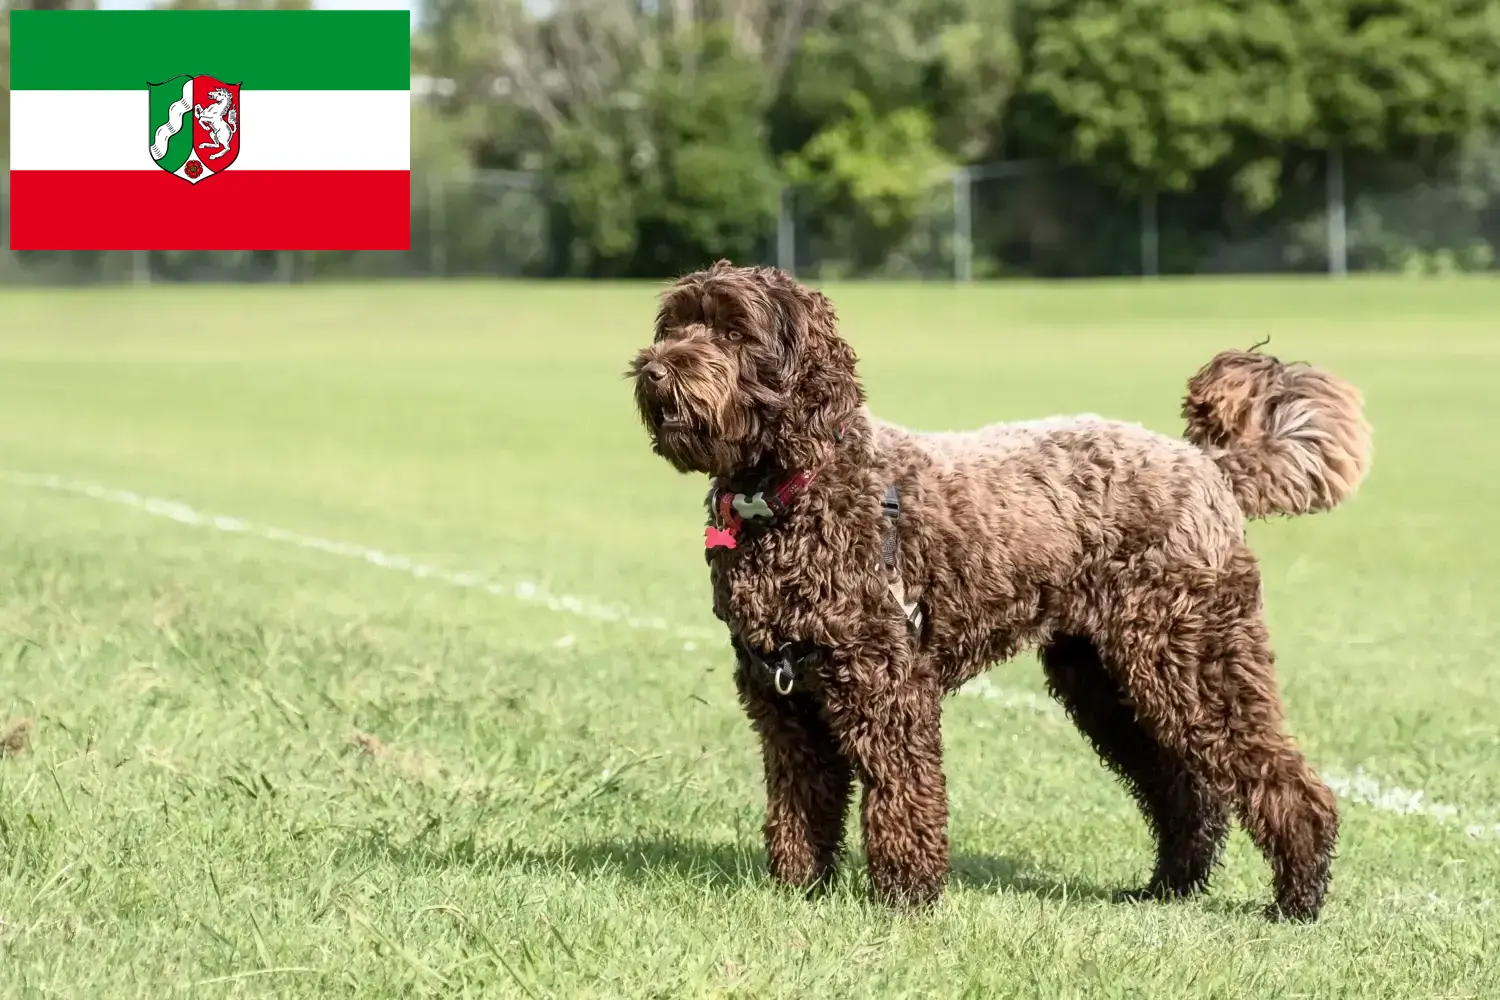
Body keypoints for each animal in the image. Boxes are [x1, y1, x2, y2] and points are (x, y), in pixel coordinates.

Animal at [627, 260, 1374, 923]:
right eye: (675, 324)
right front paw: (799, 889)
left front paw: (905, 897)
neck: (794, 493)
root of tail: (1209, 465)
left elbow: (902, 793)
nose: (654, 368)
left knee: (1281, 781)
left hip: (1194, 658)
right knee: (1184, 792)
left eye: (733, 331)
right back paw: (1168, 887)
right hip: (1106, 680)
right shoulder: (781, 699)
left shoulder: (886, 686)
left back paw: (1297, 899)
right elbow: (800, 801)